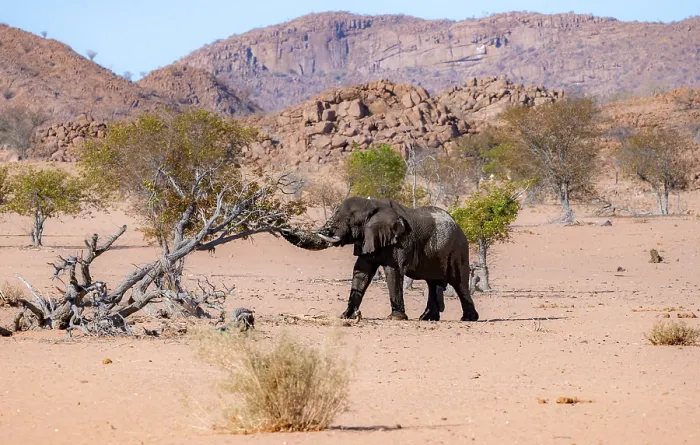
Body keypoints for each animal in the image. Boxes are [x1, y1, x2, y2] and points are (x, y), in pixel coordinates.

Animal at [280, 197, 479, 322]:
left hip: (458, 248)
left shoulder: (400, 241)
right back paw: (427, 318)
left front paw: (396, 318)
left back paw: (468, 319)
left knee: (458, 282)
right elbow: (361, 272)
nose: (284, 229)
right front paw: (346, 316)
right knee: (433, 283)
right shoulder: (368, 238)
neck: (373, 204)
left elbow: (392, 271)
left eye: (350, 221)